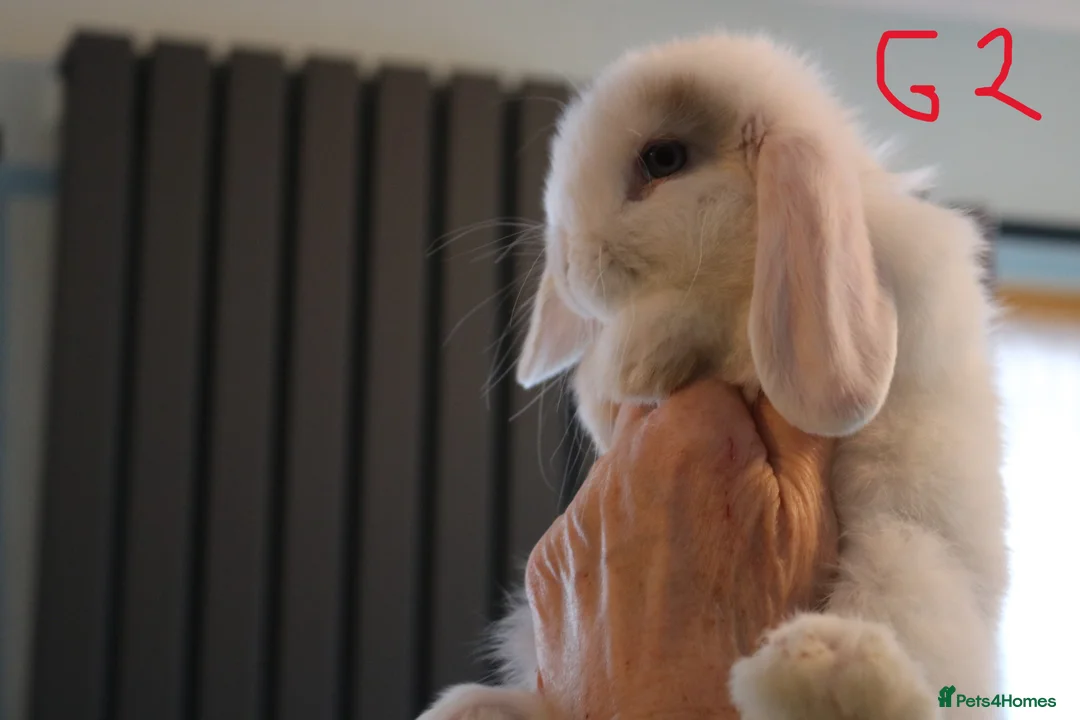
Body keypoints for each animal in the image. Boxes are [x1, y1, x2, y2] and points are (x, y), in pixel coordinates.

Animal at [418, 30, 1008, 720]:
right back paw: (473, 706)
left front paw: (639, 351)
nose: (569, 267)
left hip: (905, 556)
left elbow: (712, 326)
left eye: (663, 158)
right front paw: (625, 360)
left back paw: (816, 665)